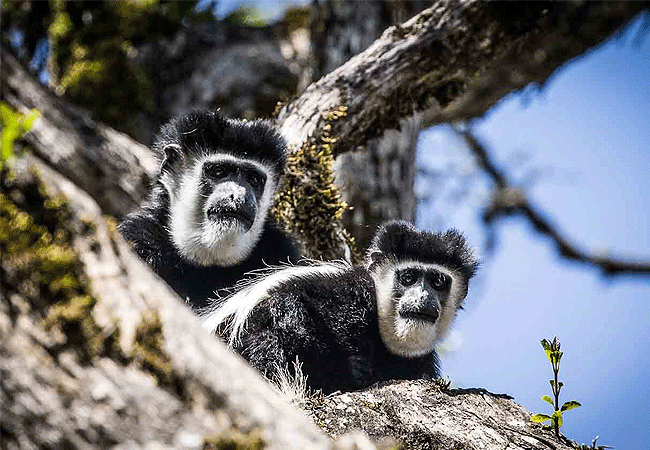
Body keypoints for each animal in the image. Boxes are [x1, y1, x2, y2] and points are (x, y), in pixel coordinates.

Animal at [201, 220, 478, 394]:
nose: (423, 297)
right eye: (408, 277)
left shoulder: (421, 361)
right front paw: (356, 372)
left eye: (438, 282)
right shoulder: (353, 291)